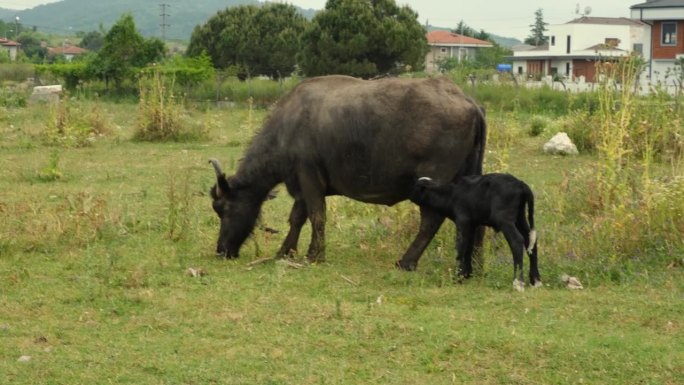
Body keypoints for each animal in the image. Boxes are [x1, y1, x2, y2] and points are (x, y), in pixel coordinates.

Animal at [210, 74, 486, 270]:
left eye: (223, 209)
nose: (221, 249)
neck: (287, 127)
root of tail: (468, 101)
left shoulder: (309, 177)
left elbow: (317, 216)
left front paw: (315, 254)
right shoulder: (301, 183)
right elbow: (297, 218)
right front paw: (285, 251)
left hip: (431, 183)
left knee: (430, 221)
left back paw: (406, 262)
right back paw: (475, 264)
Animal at [412, 172, 540, 290]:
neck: (451, 194)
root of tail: (520, 184)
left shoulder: (462, 221)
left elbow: (461, 248)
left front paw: (458, 278)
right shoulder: (472, 225)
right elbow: (469, 247)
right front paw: (466, 275)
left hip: (505, 219)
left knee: (517, 240)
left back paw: (518, 282)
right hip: (520, 217)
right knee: (530, 240)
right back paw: (536, 281)